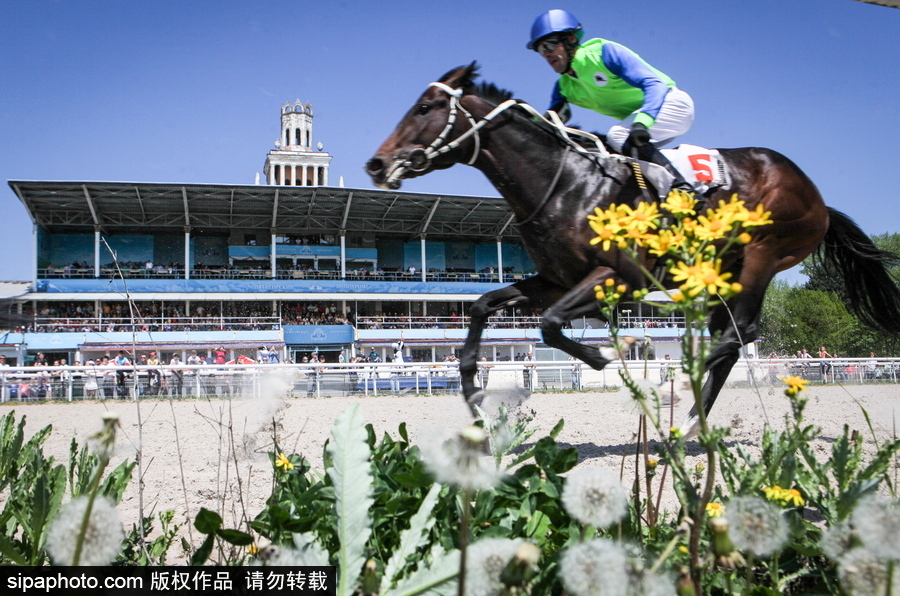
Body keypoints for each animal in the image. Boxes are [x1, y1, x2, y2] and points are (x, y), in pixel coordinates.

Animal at [365, 62, 900, 434]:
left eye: (425, 108)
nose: (377, 164)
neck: (566, 186)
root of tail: (819, 198)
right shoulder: (554, 279)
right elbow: (483, 306)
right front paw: (474, 393)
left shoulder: (618, 277)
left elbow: (551, 324)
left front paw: (610, 354)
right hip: (724, 269)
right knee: (729, 337)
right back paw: (692, 420)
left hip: (764, 253)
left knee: (739, 333)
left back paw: (676, 387)